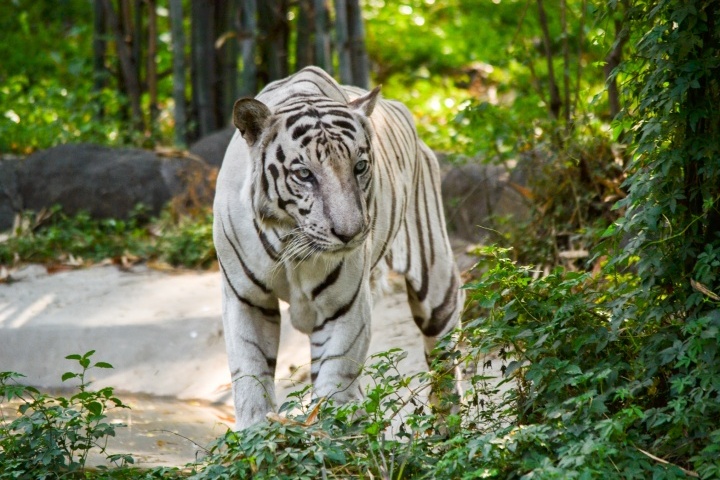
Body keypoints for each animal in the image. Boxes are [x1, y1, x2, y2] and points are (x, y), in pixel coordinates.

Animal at [213, 66, 464, 430]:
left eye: (359, 167)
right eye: (304, 174)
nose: (351, 233)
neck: (292, 241)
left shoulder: (344, 308)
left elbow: (334, 383)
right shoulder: (247, 299)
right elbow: (251, 375)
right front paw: (255, 435)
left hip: (437, 281)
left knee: (445, 358)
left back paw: (448, 430)